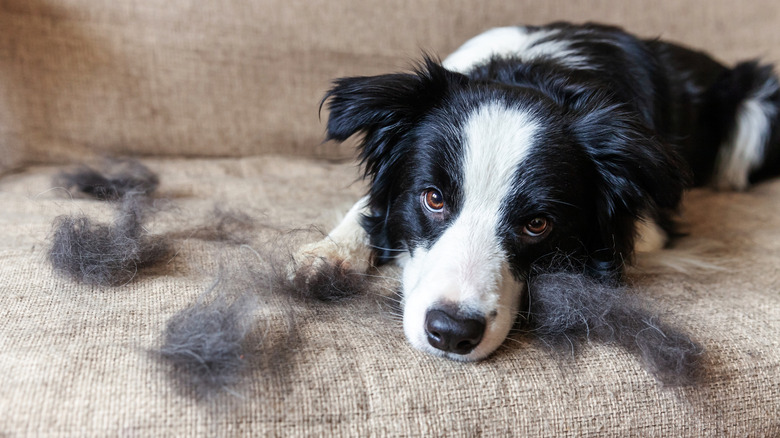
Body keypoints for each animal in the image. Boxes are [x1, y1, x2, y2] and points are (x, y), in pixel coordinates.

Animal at [292, 22, 780, 362]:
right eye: (433, 198)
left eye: (537, 224)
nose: (451, 333)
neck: (533, 76)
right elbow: (369, 207)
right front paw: (329, 254)